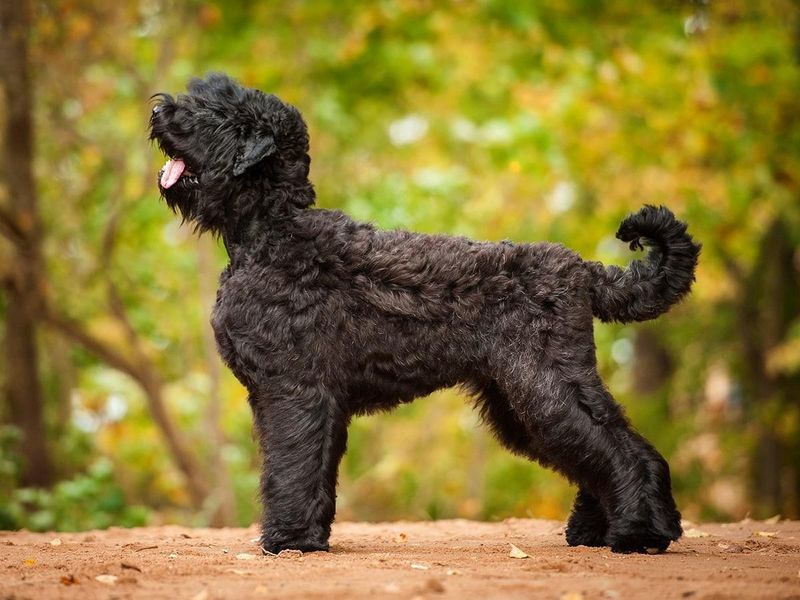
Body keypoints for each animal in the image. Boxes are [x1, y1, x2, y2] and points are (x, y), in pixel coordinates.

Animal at [150, 74, 700, 552]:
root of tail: (583, 270)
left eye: (216, 114)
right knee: (599, 451)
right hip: (519, 398)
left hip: (544, 386)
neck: (271, 233)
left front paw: (289, 541)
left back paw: (640, 534)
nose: (159, 110)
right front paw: (310, 537)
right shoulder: (301, 396)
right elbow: (312, 468)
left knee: (620, 449)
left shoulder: (293, 387)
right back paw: (596, 530)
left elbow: (291, 464)